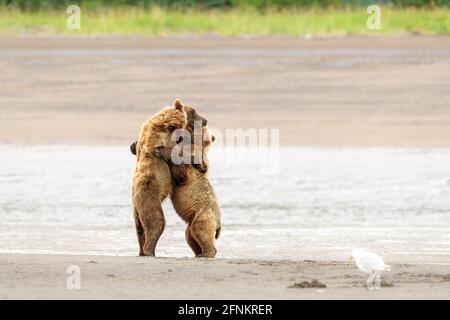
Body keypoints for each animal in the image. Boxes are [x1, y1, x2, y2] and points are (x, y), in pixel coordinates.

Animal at [131, 99, 207, 256]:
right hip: (150, 193)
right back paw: (149, 250)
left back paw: (142, 250)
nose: (205, 121)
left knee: (140, 230)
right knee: (156, 222)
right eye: (195, 112)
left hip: (136, 211)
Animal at [153, 126, 221, 258]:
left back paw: (206, 253)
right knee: (190, 235)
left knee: (200, 230)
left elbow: (181, 174)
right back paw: (198, 253)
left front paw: (162, 151)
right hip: (193, 219)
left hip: (204, 214)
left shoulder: (190, 168)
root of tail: (219, 224)